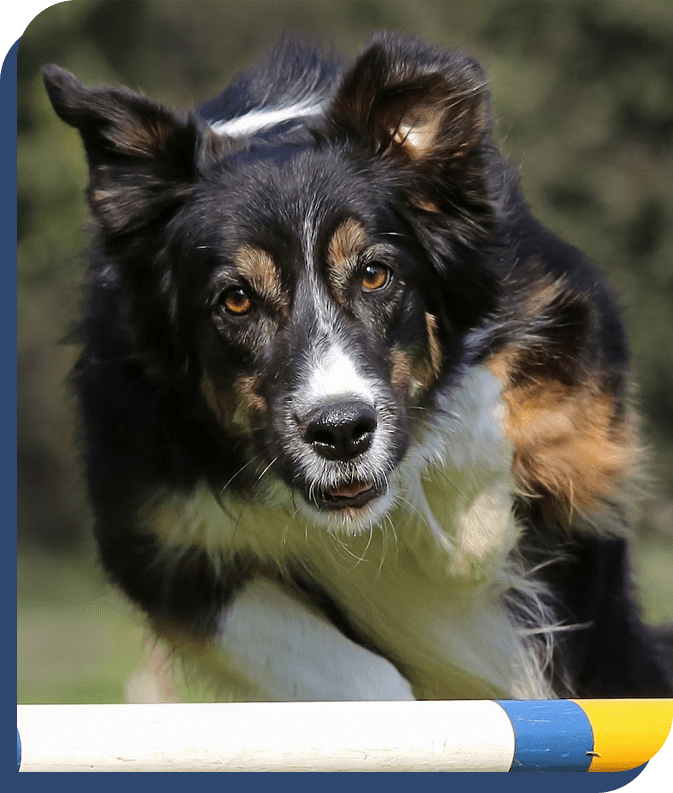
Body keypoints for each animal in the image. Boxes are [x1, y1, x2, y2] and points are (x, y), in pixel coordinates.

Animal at [43, 32, 672, 700]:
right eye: (235, 300)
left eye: (374, 274)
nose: (341, 434)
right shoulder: (158, 536)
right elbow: (360, 678)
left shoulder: (579, 363)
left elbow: (484, 409)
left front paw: (468, 534)